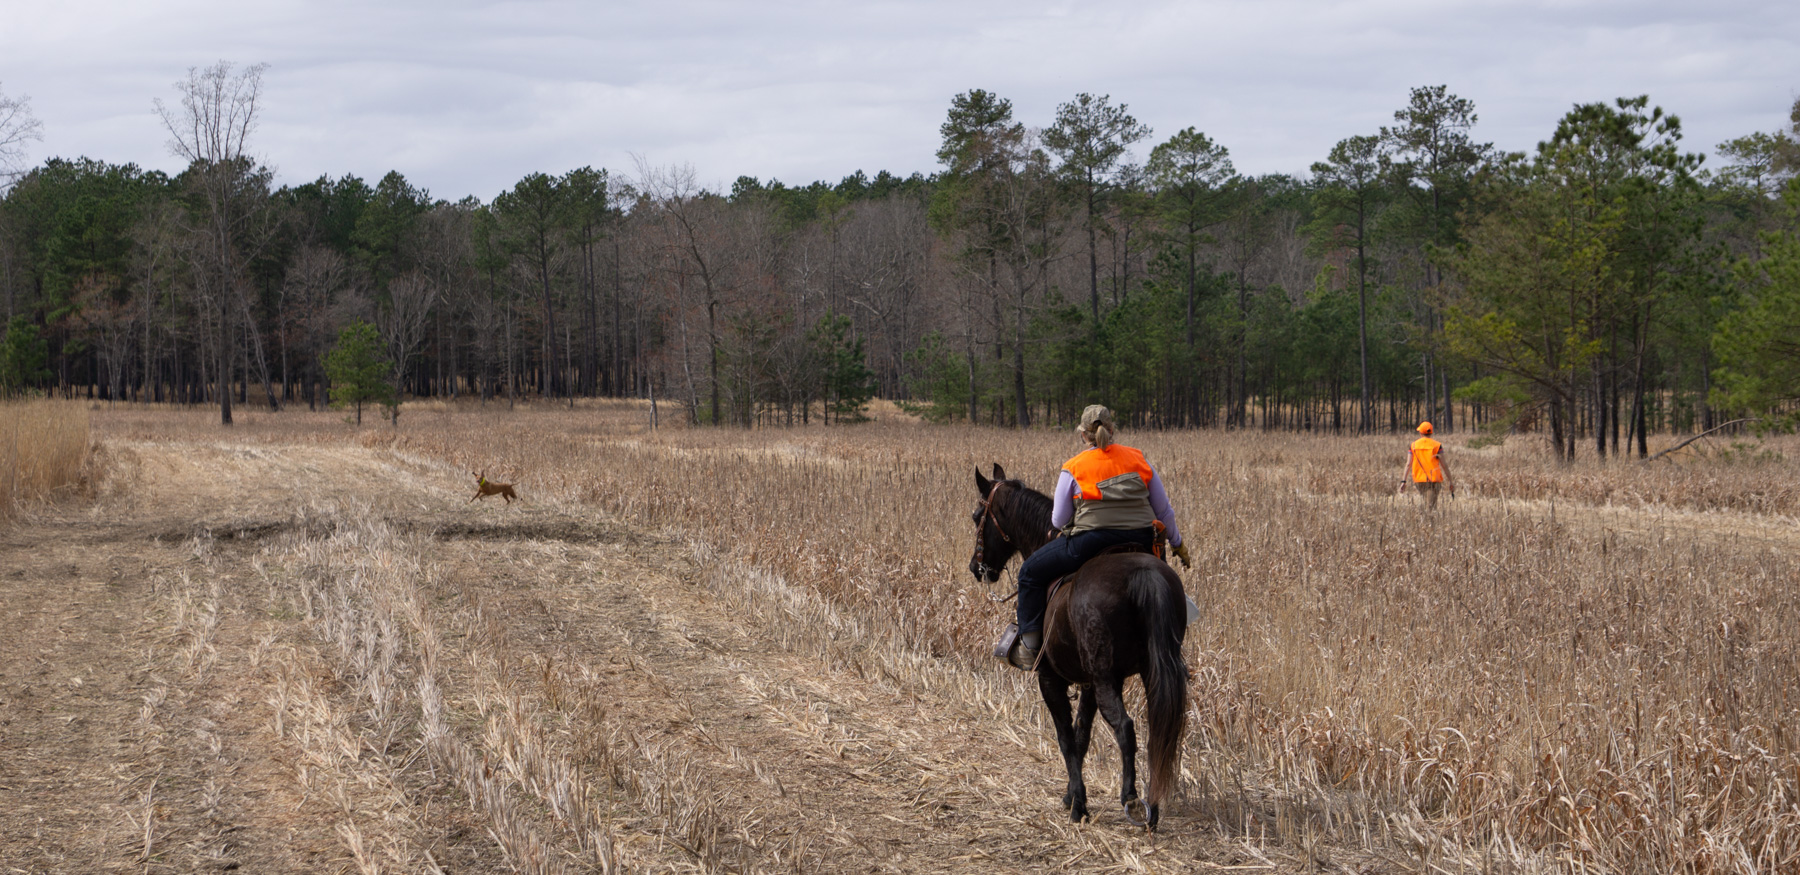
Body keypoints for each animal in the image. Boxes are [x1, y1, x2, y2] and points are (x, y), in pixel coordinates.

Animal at [979, 464, 1188, 828]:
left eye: (978, 516)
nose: (977, 568)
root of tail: (1143, 575)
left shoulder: (1050, 679)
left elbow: (1066, 738)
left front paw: (1078, 805)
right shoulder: (1090, 682)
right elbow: (1081, 736)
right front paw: (1072, 796)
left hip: (1106, 679)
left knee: (1125, 727)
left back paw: (1131, 799)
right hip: (1148, 673)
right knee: (1157, 730)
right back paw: (1152, 806)